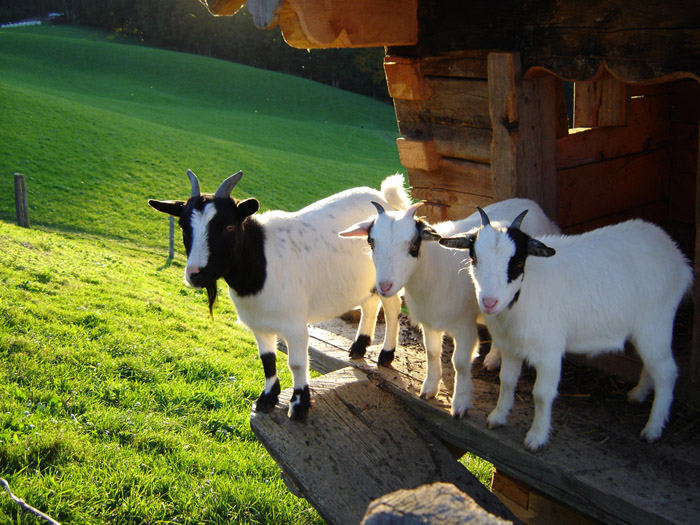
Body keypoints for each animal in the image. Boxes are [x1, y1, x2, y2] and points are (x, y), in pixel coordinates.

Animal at [149, 170, 410, 420]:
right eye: (183, 225)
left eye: (228, 226)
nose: (195, 274)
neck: (261, 261)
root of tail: (384, 198)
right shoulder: (259, 323)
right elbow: (267, 359)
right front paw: (266, 399)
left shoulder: (295, 324)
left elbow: (296, 363)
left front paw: (299, 405)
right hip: (364, 281)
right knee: (370, 304)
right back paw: (358, 347)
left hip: (389, 273)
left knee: (392, 308)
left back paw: (386, 354)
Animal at [340, 199, 556, 416]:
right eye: (371, 242)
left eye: (414, 244)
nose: (384, 287)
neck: (433, 270)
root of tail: (531, 203)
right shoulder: (429, 322)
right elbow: (432, 352)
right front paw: (429, 389)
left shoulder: (465, 327)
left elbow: (459, 363)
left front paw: (460, 403)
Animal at [440, 207, 692, 448]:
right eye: (474, 258)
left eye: (518, 262)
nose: (489, 302)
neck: (524, 293)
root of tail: (678, 259)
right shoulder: (511, 346)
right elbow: (507, 381)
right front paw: (498, 417)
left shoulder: (549, 351)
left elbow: (542, 394)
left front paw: (537, 437)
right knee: (652, 364)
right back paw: (639, 394)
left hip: (656, 322)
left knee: (667, 372)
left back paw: (653, 429)